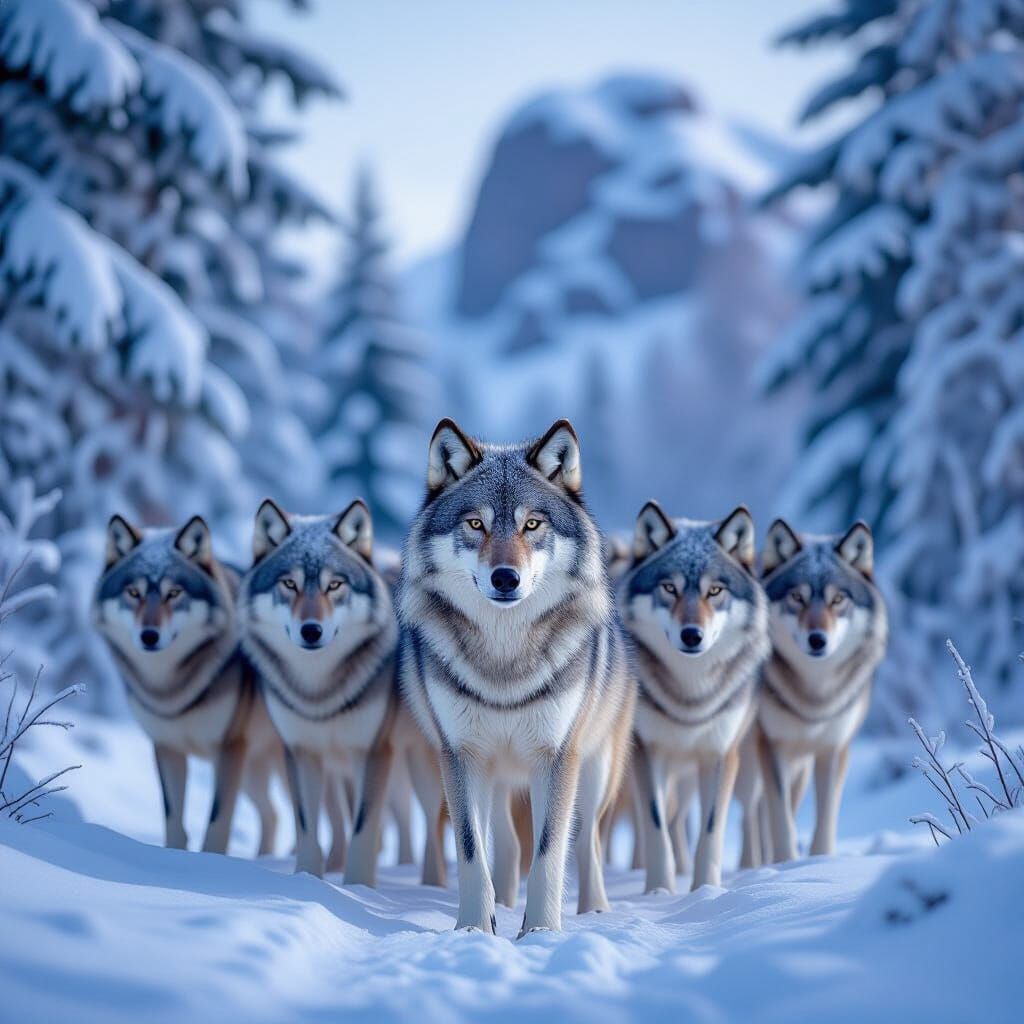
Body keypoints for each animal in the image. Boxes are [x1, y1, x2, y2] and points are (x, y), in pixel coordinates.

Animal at [93, 515, 282, 855]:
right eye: (134, 593)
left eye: (174, 593)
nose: (149, 636)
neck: (172, 690)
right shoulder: (167, 748)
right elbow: (173, 819)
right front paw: (175, 859)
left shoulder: (229, 748)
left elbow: (218, 821)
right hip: (254, 771)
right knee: (274, 815)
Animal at [237, 498, 397, 883]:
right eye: (289, 584)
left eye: (335, 584)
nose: (311, 630)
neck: (320, 693)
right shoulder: (301, 751)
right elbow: (307, 826)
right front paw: (309, 880)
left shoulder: (372, 751)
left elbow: (363, 827)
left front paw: (357, 887)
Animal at [398, 418, 635, 936]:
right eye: (476, 524)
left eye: (532, 524)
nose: (505, 578)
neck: (504, 662)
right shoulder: (460, 755)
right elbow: (472, 850)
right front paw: (473, 929)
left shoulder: (557, 756)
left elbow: (549, 853)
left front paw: (541, 932)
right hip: (497, 774)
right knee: (503, 841)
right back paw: (503, 905)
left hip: (595, 772)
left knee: (588, 842)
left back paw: (595, 909)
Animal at [617, 501, 770, 892]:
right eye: (669, 588)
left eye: (714, 591)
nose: (692, 635)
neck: (690, 696)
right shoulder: (647, 752)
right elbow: (656, 825)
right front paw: (659, 890)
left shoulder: (720, 754)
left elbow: (711, 830)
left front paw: (705, 889)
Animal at [757, 519, 887, 862]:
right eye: (797, 597)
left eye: (838, 599)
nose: (818, 640)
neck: (814, 697)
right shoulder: (771, 746)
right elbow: (781, 821)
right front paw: (786, 865)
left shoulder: (834, 747)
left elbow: (826, 817)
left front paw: (819, 862)